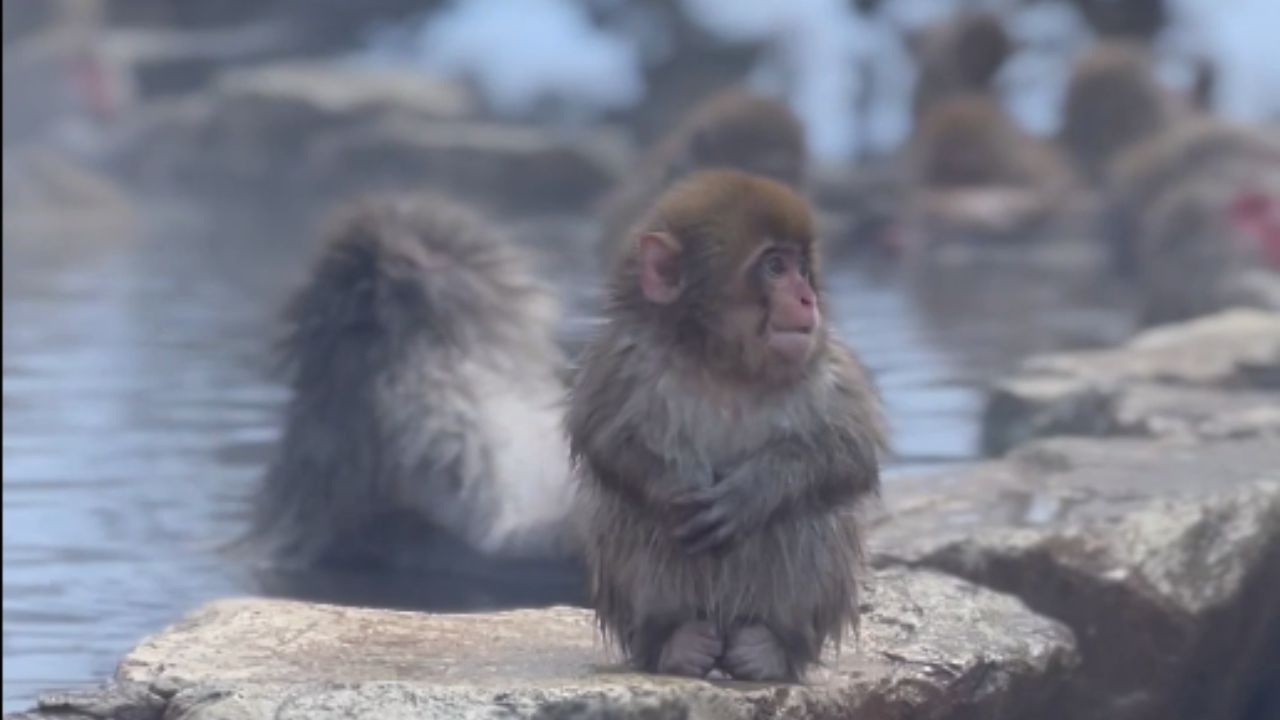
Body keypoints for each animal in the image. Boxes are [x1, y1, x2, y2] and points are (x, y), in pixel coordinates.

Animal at [569, 169, 887, 682]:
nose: (807, 298)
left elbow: (850, 453)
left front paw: (751, 494)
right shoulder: (621, 356)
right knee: (630, 518)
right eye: (775, 267)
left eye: (801, 267)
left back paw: (773, 646)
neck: (723, 365)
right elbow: (602, 438)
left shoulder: (826, 364)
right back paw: (674, 641)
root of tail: (724, 624)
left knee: (809, 517)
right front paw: (672, 488)